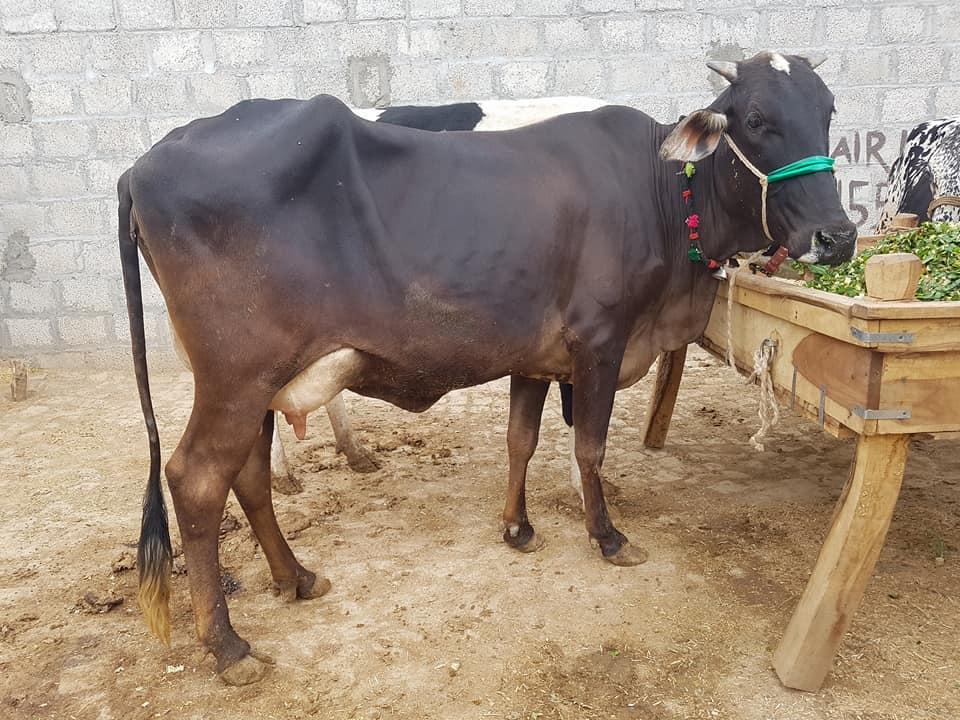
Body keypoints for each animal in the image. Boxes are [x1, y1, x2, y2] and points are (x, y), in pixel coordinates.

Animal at [119, 51, 855, 685]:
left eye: (828, 110)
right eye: (755, 119)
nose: (837, 236)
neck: (665, 200)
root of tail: (146, 161)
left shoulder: (536, 351)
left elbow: (520, 439)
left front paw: (517, 528)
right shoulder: (600, 339)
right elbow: (589, 448)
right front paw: (607, 536)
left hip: (260, 381)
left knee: (246, 474)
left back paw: (295, 577)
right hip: (236, 376)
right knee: (197, 480)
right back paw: (229, 646)